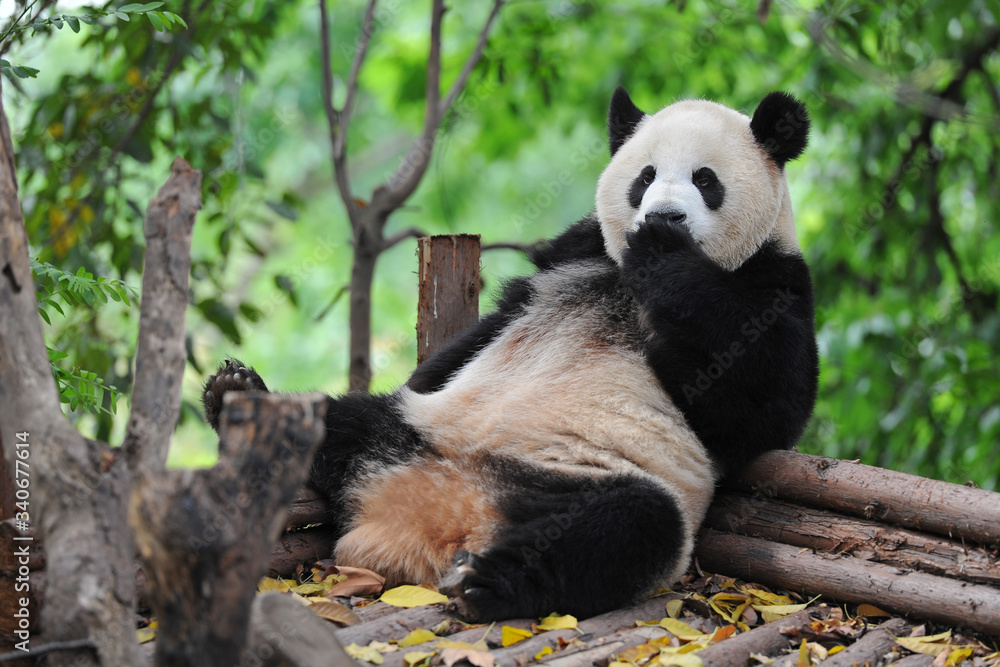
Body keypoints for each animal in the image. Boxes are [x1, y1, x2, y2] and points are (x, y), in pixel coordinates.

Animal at [203, 87, 818, 622]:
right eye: (644, 177)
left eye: (705, 180)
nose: (665, 214)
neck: (628, 272)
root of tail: (438, 521)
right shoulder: (577, 255)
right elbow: (489, 325)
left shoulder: (775, 283)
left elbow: (764, 404)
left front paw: (667, 255)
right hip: (413, 429)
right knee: (343, 420)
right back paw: (237, 397)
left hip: (593, 479)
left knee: (629, 526)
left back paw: (486, 583)